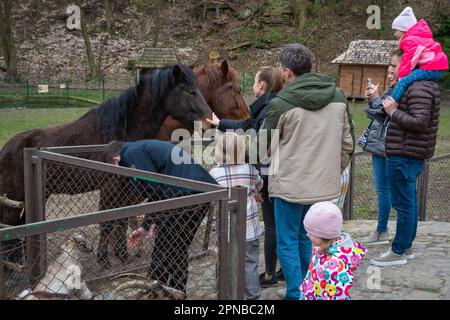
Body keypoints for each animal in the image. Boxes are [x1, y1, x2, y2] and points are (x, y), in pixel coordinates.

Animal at [0, 64, 213, 262]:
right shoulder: (109, 188)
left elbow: (122, 219)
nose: (209, 123)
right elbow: (108, 222)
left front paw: (121, 254)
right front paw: (104, 259)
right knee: (10, 226)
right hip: (14, 200)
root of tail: (6, 149)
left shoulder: (125, 189)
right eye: (190, 91)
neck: (121, 130)